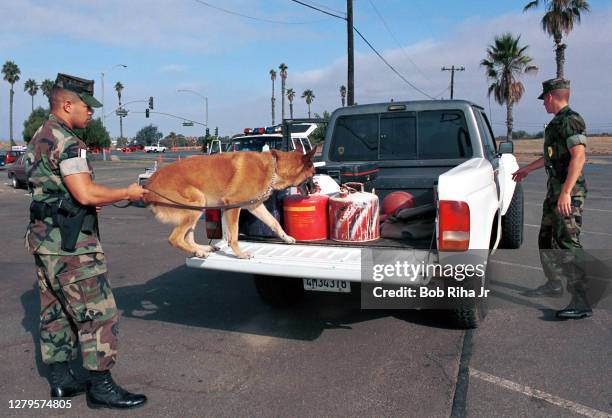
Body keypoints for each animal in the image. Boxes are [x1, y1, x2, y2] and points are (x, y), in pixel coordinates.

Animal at [143, 147, 316, 258]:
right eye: (313, 173)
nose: (315, 189)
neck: (274, 168)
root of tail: (148, 185)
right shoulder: (233, 206)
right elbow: (233, 236)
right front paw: (240, 254)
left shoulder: (255, 206)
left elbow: (274, 222)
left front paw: (286, 237)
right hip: (197, 204)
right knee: (175, 238)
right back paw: (199, 251)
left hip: (197, 208)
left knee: (187, 238)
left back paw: (201, 249)